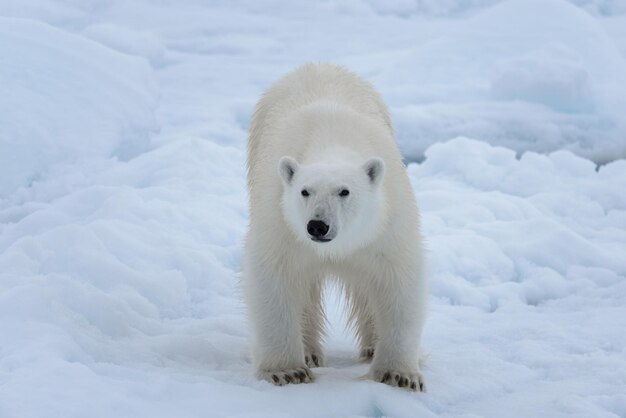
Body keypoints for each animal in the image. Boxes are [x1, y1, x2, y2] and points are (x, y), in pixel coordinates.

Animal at [241, 62, 426, 392]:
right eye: (305, 191)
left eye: (344, 191)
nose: (317, 226)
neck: (331, 142)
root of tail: (317, 64)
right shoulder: (280, 223)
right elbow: (274, 277)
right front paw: (286, 371)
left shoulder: (386, 225)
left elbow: (397, 280)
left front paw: (399, 375)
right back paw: (310, 352)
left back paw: (370, 348)